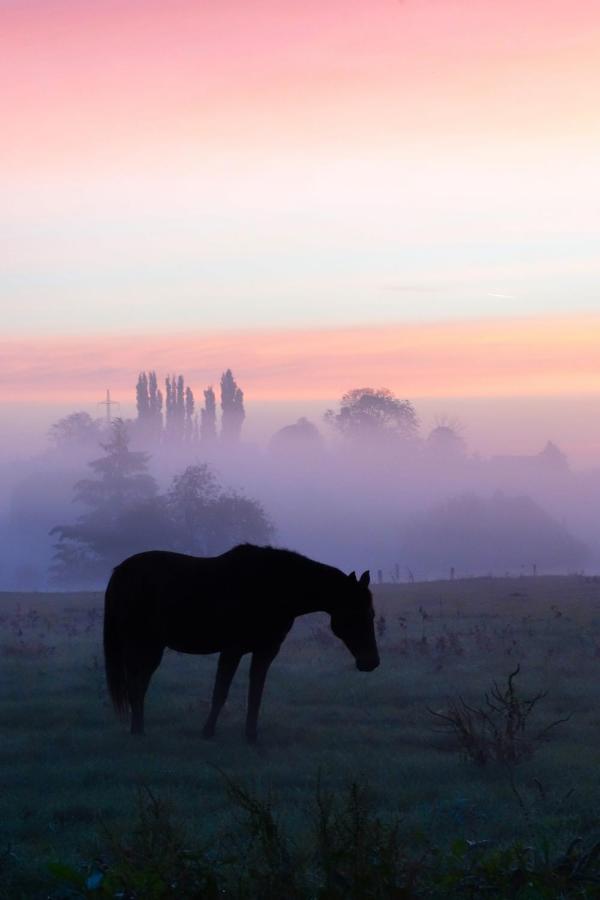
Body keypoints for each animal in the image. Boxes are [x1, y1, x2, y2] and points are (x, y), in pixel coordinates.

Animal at [103, 544, 380, 740]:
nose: (371, 662)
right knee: (135, 683)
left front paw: (251, 735)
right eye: (357, 614)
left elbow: (255, 693)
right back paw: (138, 730)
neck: (275, 587)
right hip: (141, 644)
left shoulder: (266, 651)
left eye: (371, 614)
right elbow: (220, 692)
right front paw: (207, 732)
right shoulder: (232, 650)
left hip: (152, 647)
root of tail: (121, 572)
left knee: (139, 683)